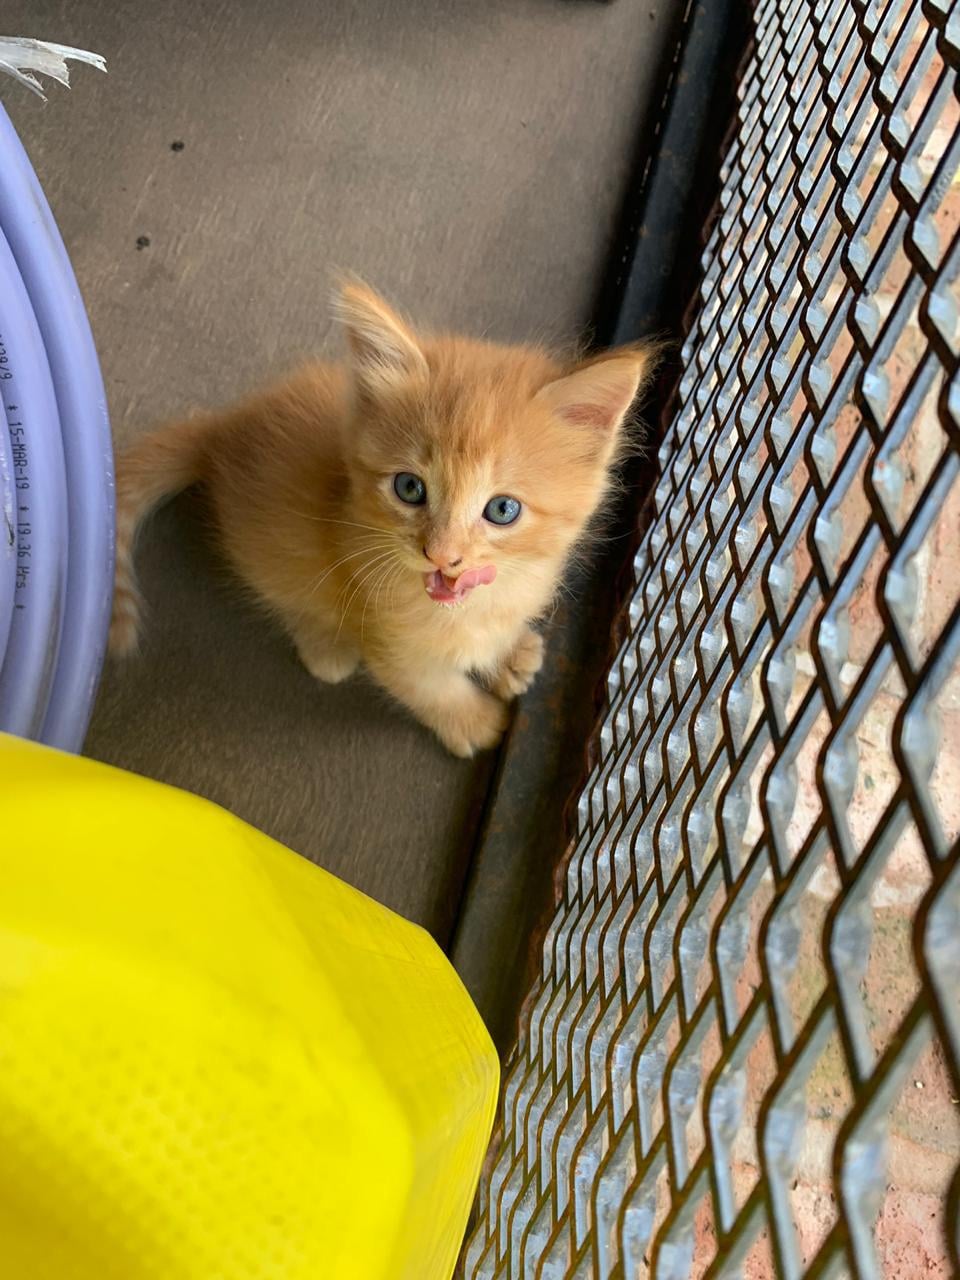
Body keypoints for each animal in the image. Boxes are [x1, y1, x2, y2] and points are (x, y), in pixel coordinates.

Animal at [110, 284, 657, 757]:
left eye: (503, 510)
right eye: (410, 488)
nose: (442, 554)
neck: (474, 603)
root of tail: (224, 430)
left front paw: (507, 653)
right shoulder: (383, 630)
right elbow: (427, 687)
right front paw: (475, 723)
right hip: (278, 553)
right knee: (288, 596)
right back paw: (325, 647)